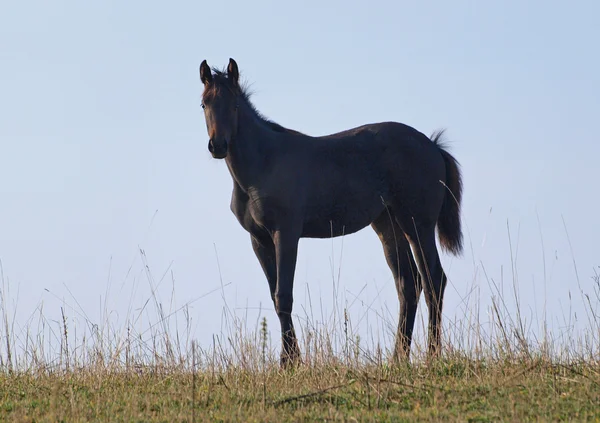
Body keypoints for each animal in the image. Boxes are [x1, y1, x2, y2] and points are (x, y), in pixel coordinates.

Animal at [199, 58, 462, 366]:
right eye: (204, 104)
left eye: (234, 106)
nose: (218, 146)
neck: (262, 164)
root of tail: (433, 145)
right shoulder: (259, 239)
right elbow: (275, 296)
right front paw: (290, 359)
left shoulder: (286, 233)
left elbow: (283, 295)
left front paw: (290, 362)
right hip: (388, 225)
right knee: (409, 285)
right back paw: (398, 358)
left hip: (417, 223)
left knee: (434, 281)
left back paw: (431, 356)